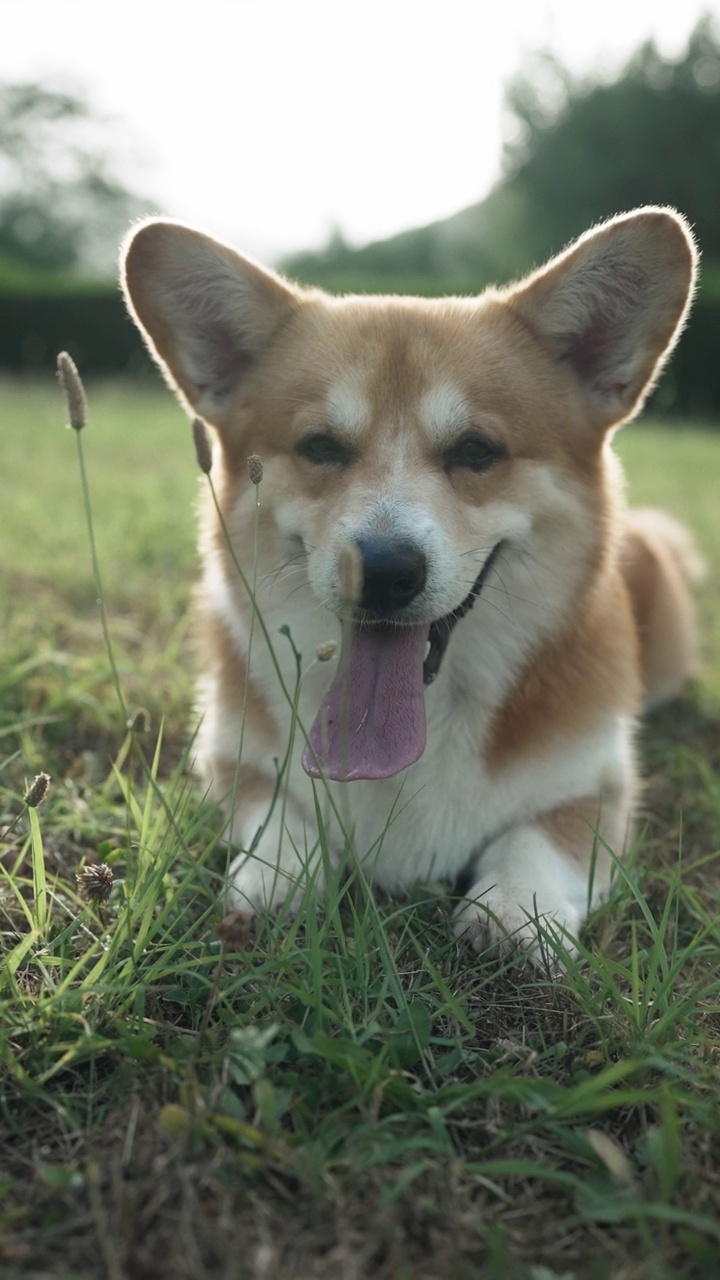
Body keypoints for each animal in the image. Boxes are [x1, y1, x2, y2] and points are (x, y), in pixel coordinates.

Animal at [120, 207, 696, 962]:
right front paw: (275, 880)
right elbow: (277, 811)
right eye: (320, 447)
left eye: (476, 451)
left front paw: (516, 907)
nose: (384, 570)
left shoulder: (597, 786)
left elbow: (542, 838)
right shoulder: (230, 757)